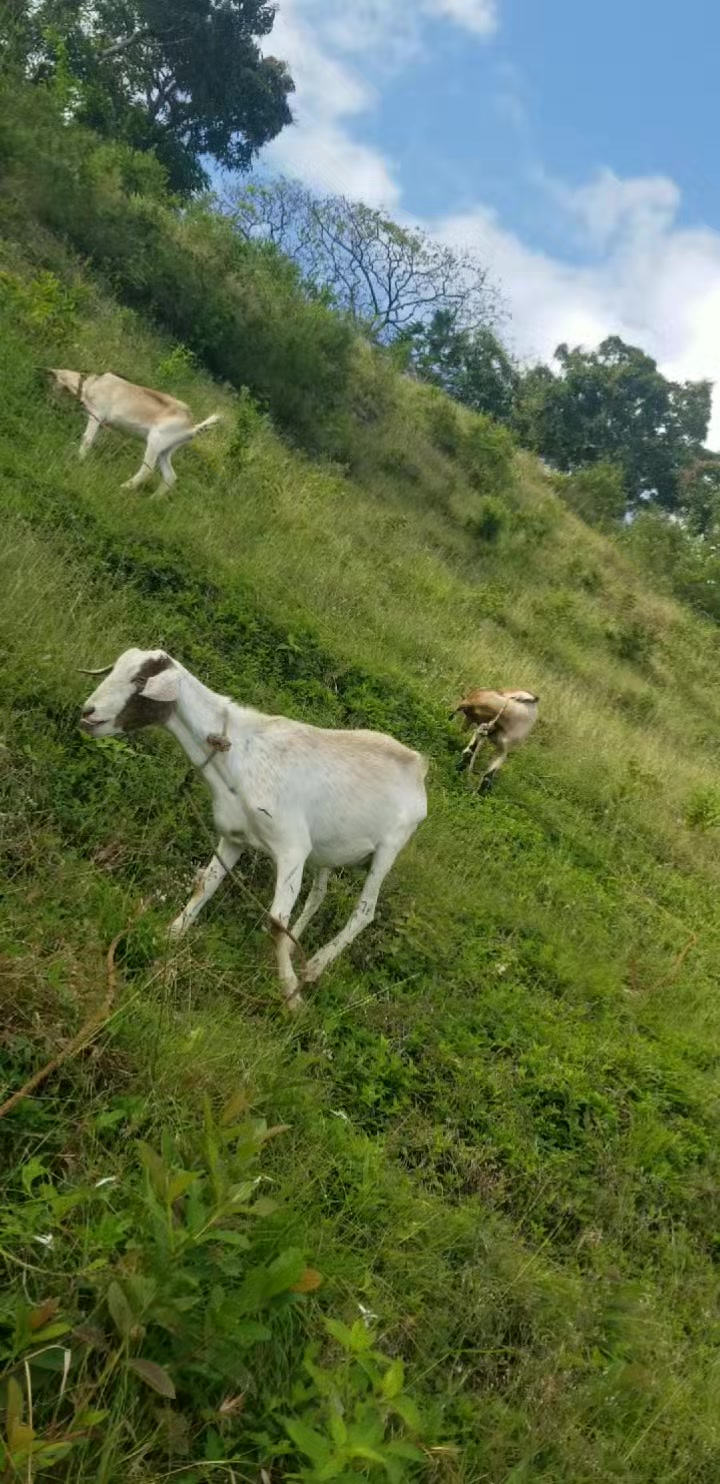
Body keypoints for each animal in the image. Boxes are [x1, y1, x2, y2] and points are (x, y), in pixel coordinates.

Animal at [49, 370, 221, 492]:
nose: (53, 404)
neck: (92, 384)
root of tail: (192, 427)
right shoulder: (103, 423)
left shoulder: (96, 415)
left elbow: (87, 439)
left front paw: (79, 459)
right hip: (166, 451)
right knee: (170, 476)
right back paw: (152, 500)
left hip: (155, 441)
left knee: (147, 470)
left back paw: (124, 487)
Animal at [80, 649, 428, 1009]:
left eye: (140, 680)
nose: (88, 712)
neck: (238, 756)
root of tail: (418, 764)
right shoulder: (233, 838)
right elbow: (204, 885)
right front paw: (171, 934)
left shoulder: (292, 847)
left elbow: (276, 920)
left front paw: (290, 995)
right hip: (330, 850)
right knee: (317, 896)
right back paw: (296, 951)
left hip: (389, 848)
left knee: (364, 911)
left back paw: (314, 968)